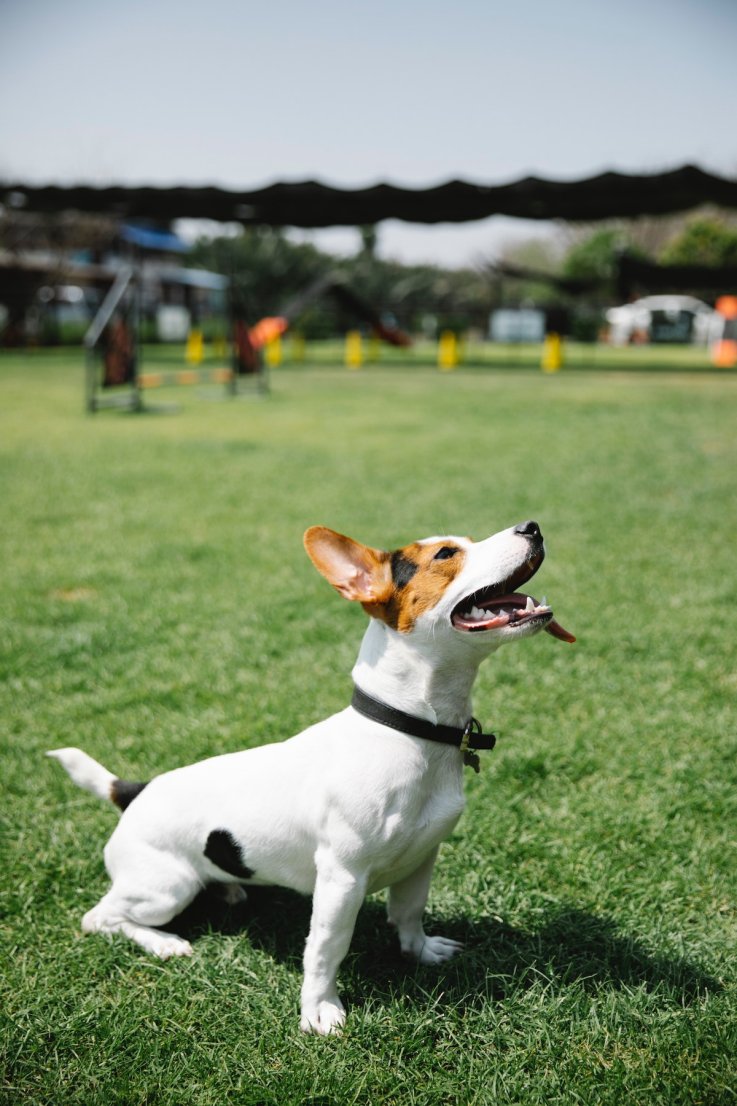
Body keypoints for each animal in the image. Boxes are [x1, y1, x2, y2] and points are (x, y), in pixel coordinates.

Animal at [48, 517, 571, 1035]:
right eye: (445, 554)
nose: (532, 526)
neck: (406, 729)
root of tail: (134, 791)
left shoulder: (422, 859)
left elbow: (408, 913)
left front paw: (420, 951)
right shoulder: (342, 879)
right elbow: (325, 949)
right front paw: (319, 1008)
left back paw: (228, 887)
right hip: (164, 889)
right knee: (100, 918)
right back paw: (162, 942)